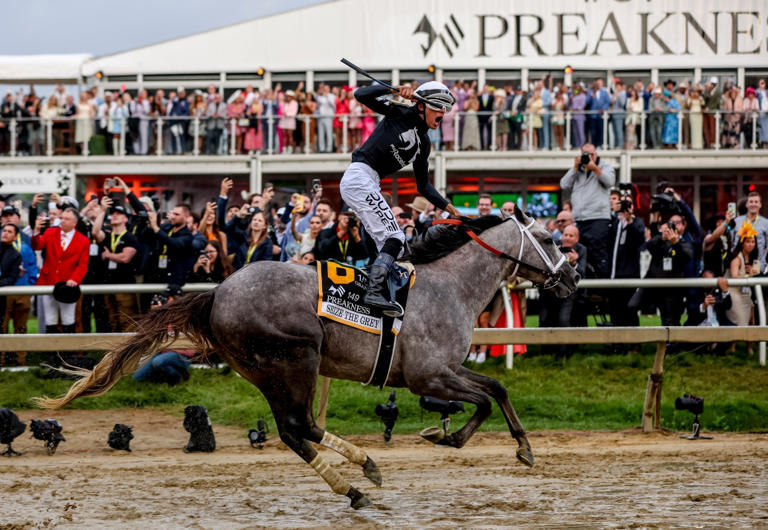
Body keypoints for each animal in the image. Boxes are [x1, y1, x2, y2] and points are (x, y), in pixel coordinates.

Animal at [37, 206, 576, 508]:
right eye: (550, 240)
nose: (572, 277)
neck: (449, 287)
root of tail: (216, 293)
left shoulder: (446, 370)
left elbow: (496, 388)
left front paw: (521, 447)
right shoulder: (428, 376)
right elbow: (482, 401)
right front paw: (447, 436)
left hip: (266, 370)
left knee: (296, 430)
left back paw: (359, 476)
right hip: (294, 359)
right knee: (297, 426)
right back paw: (357, 478)